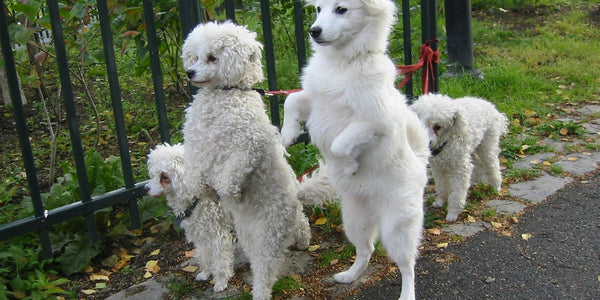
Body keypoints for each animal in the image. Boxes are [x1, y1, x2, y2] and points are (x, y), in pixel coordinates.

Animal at [282, 1, 428, 298]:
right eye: (318, 9)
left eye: (341, 9)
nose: (314, 31)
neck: (342, 63)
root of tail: (421, 164)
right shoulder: (315, 102)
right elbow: (291, 101)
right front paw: (287, 133)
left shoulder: (375, 121)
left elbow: (339, 144)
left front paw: (349, 164)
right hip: (354, 220)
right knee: (366, 249)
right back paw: (349, 275)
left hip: (398, 226)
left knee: (407, 265)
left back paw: (407, 293)